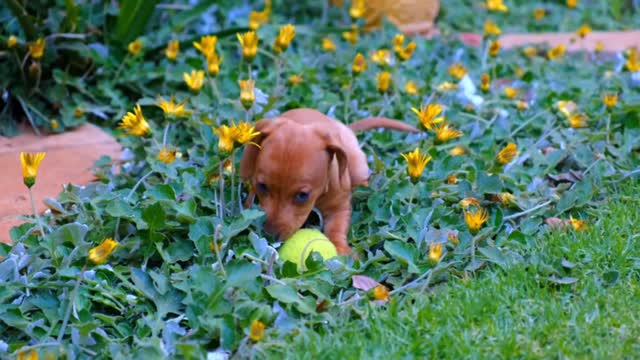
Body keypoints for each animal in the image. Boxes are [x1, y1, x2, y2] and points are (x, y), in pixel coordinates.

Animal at [239, 108, 416, 255]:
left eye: (302, 195)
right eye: (262, 186)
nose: (268, 235)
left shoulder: (339, 207)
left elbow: (337, 227)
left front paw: (341, 249)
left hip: (358, 166)